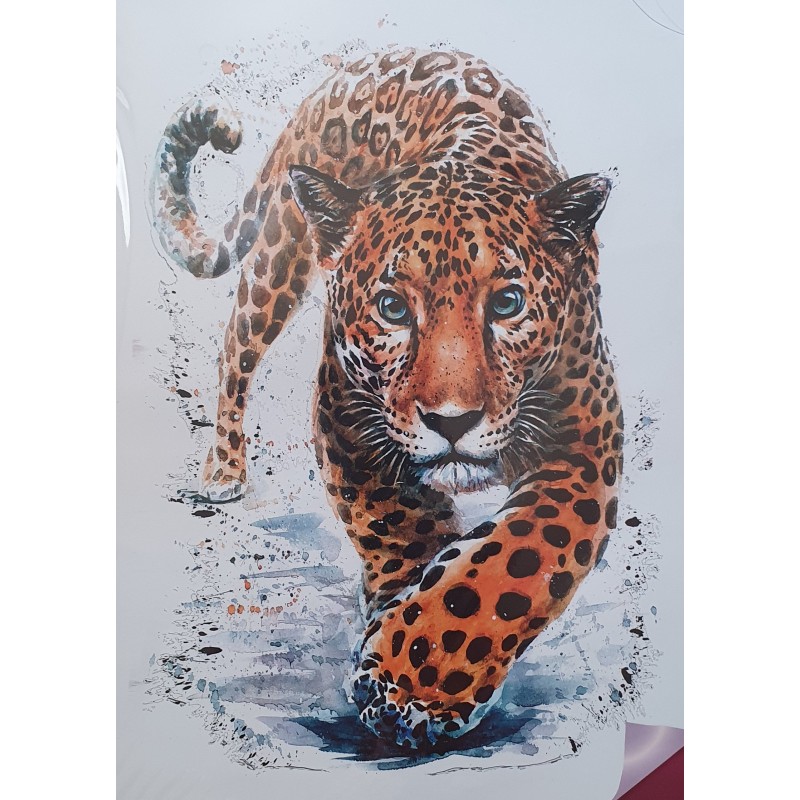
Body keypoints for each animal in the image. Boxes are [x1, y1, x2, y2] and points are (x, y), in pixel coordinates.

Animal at [151, 47, 622, 751]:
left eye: (508, 303)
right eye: (393, 308)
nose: (452, 422)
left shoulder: (585, 439)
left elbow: (516, 559)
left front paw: (416, 679)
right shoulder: (347, 417)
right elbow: (402, 527)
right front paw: (404, 665)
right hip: (278, 257)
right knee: (235, 348)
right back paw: (224, 470)